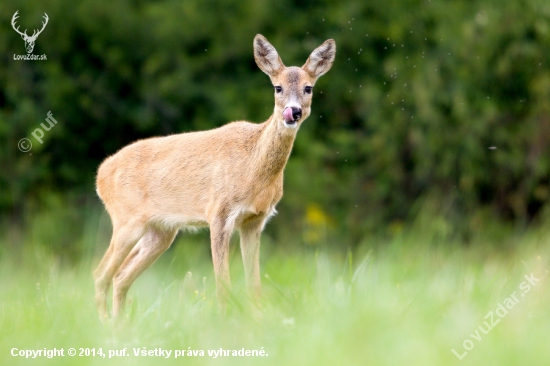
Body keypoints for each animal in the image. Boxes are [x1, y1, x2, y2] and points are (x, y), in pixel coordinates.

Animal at [94, 35, 336, 320]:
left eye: (309, 88)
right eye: (278, 87)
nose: (293, 112)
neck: (252, 167)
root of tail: (101, 174)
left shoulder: (255, 221)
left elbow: (254, 284)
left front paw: (257, 320)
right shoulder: (219, 213)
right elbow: (223, 285)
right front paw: (224, 321)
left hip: (161, 231)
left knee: (120, 276)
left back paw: (119, 325)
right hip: (126, 220)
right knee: (100, 274)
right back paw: (105, 324)